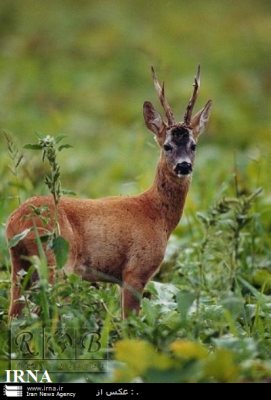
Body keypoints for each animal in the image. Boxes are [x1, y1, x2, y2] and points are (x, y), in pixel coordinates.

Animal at [6, 67, 212, 320]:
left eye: (194, 145)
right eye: (167, 146)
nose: (184, 166)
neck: (157, 215)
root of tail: (16, 221)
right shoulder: (136, 270)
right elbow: (129, 321)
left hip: (19, 263)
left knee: (13, 314)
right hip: (56, 258)